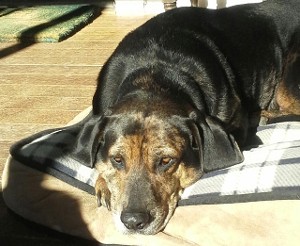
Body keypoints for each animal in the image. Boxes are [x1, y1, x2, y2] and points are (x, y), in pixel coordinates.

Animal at [72, 0, 300, 234]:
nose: (133, 222)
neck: (154, 76)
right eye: (117, 159)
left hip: (289, 83)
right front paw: (105, 183)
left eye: (166, 161)